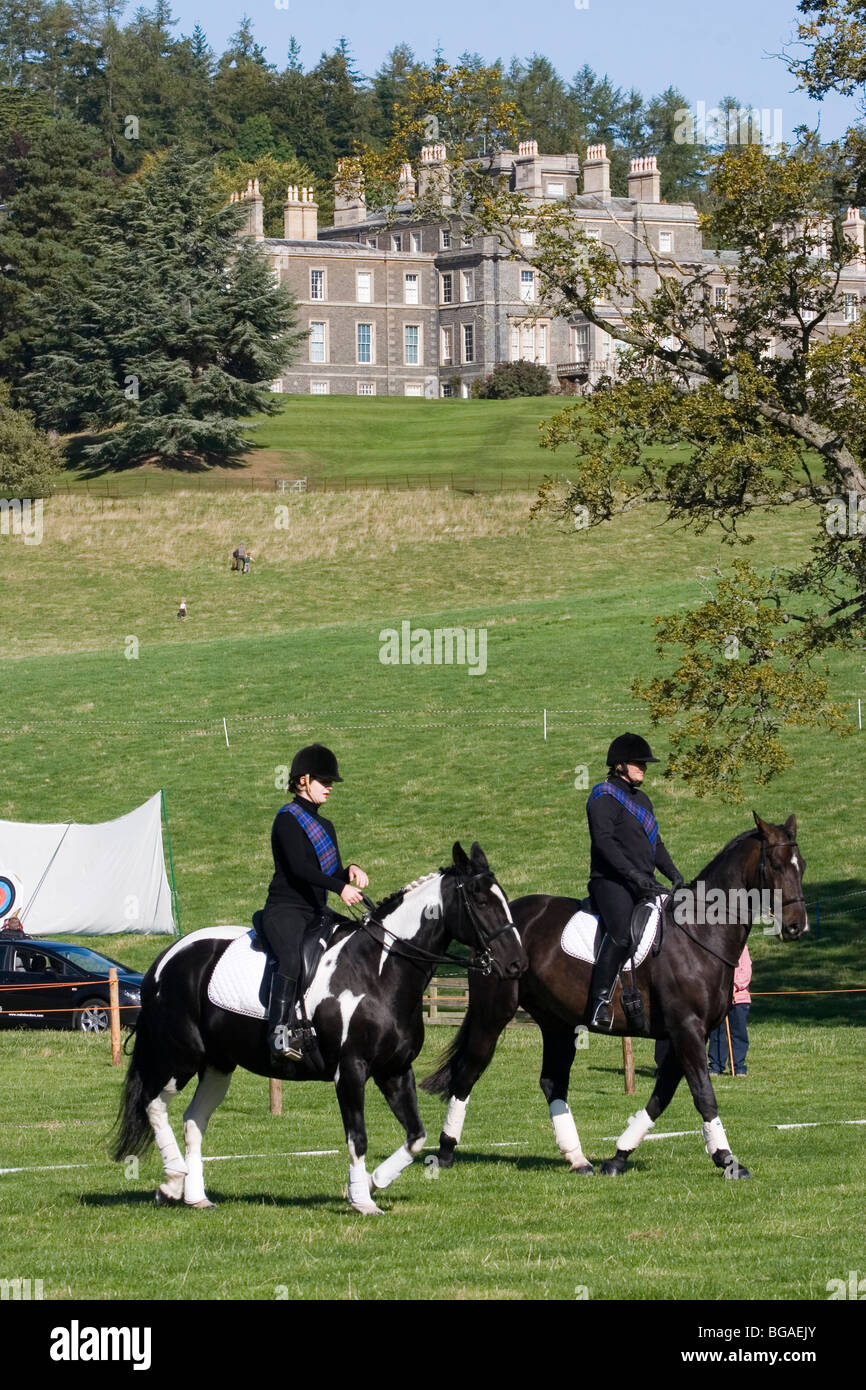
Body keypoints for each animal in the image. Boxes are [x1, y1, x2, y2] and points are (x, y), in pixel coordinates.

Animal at [111, 839, 525, 1212]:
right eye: (481, 901)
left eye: (503, 897)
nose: (517, 964)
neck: (379, 971)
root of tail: (165, 959)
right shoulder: (351, 1071)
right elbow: (358, 1137)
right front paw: (362, 1200)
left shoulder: (395, 1070)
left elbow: (415, 1137)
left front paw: (371, 1183)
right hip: (180, 1056)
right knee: (153, 1105)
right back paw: (172, 1181)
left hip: (217, 1064)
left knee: (194, 1120)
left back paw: (195, 1196)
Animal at [422, 811, 811, 1184]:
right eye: (776, 866)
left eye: (802, 865)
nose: (796, 926)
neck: (700, 933)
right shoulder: (686, 1029)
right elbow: (703, 1093)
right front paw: (728, 1160)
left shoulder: (686, 1034)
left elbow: (662, 1096)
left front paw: (619, 1157)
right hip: (493, 1013)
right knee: (468, 1073)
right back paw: (444, 1152)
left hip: (557, 1023)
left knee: (552, 1082)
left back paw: (578, 1160)